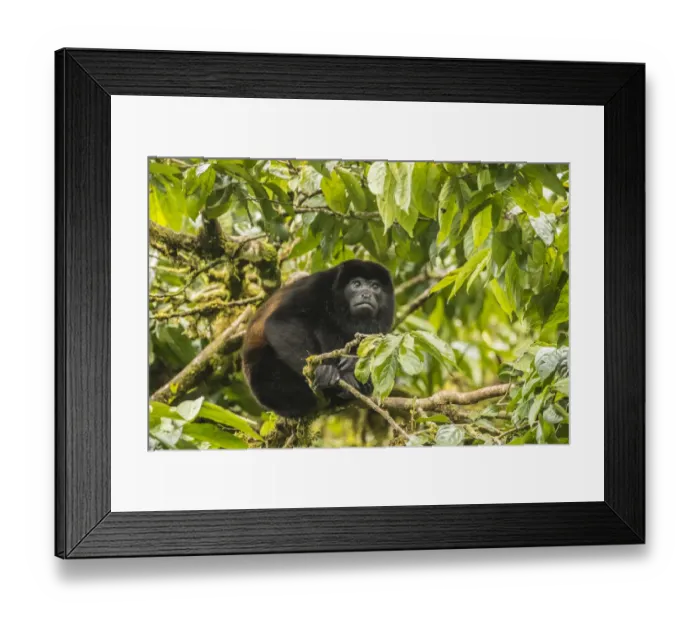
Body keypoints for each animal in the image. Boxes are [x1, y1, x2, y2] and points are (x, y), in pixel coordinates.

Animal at [242, 260, 394, 418]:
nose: (366, 294)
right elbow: (280, 321)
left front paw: (352, 362)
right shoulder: (317, 286)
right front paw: (320, 371)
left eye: (375, 286)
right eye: (356, 284)